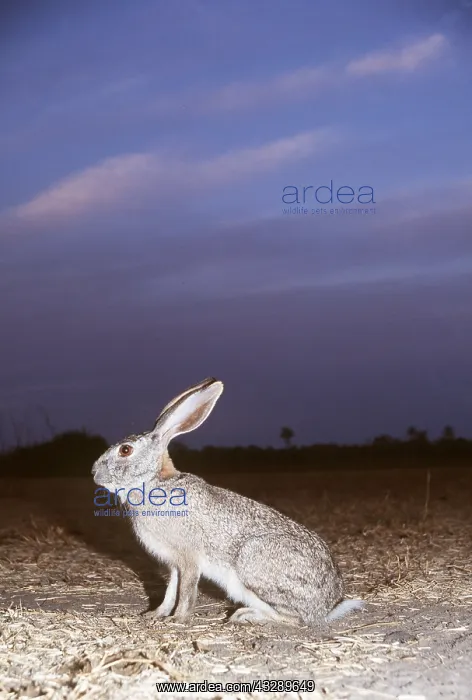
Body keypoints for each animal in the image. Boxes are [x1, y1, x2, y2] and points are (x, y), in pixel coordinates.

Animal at [92, 377, 364, 626]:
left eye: (125, 450)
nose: (94, 472)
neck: (153, 481)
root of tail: (326, 609)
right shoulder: (174, 564)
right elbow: (170, 591)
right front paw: (155, 615)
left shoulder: (189, 558)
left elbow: (186, 591)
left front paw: (178, 620)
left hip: (253, 561)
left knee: (296, 620)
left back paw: (245, 616)